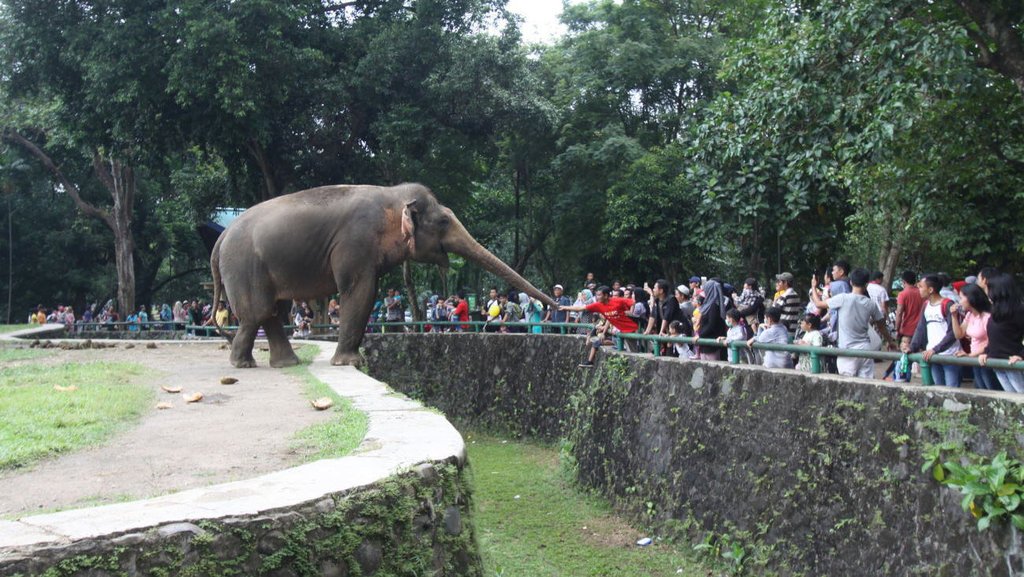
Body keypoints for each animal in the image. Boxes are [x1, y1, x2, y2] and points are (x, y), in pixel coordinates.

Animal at [210, 182, 557, 368]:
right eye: (444, 221)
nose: (556, 306)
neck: (391, 196)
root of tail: (220, 238)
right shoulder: (355, 242)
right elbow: (360, 291)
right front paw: (352, 363)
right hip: (244, 266)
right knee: (258, 312)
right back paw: (243, 364)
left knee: (271, 311)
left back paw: (282, 363)